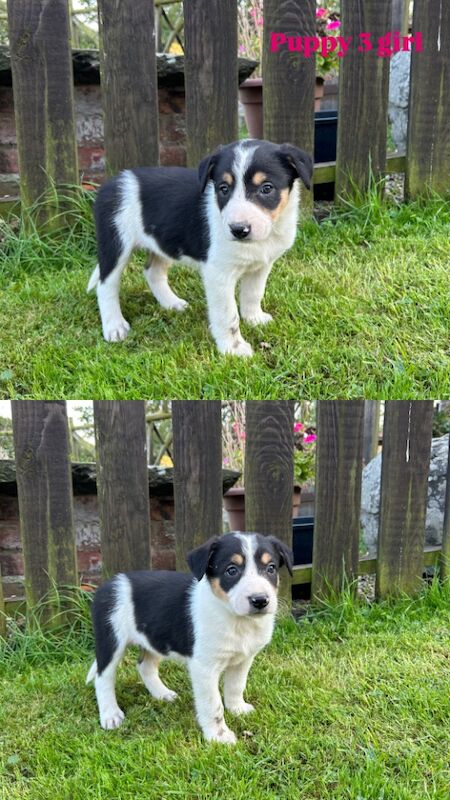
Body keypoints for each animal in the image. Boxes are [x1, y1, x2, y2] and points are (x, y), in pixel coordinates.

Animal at [86, 532, 294, 744]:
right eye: (231, 570)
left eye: (271, 568)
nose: (260, 600)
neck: (235, 618)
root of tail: (107, 585)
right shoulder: (204, 667)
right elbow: (213, 705)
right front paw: (219, 737)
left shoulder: (243, 660)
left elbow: (236, 686)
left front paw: (238, 709)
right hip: (111, 640)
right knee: (103, 678)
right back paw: (111, 715)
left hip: (155, 639)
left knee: (145, 666)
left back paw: (162, 694)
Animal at [88, 140, 312, 356]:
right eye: (223, 188)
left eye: (267, 188)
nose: (238, 230)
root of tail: (111, 183)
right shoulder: (218, 274)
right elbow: (228, 315)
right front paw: (233, 349)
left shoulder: (261, 266)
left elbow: (253, 294)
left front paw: (254, 319)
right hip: (115, 243)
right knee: (106, 285)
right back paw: (114, 327)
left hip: (165, 242)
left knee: (153, 272)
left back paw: (172, 303)